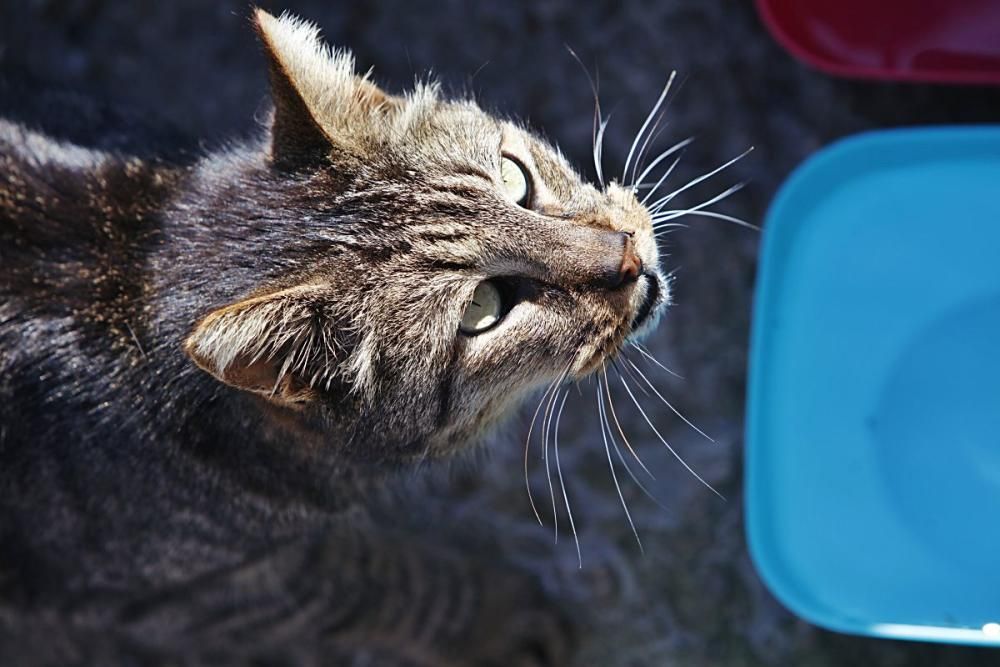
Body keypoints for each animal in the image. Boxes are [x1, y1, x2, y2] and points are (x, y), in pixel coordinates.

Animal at [3, 6, 672, 667]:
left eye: (514, 180)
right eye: (483, 309)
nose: (627, 257)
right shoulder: (205, 596)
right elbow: (393, 586)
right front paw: (506, 617)